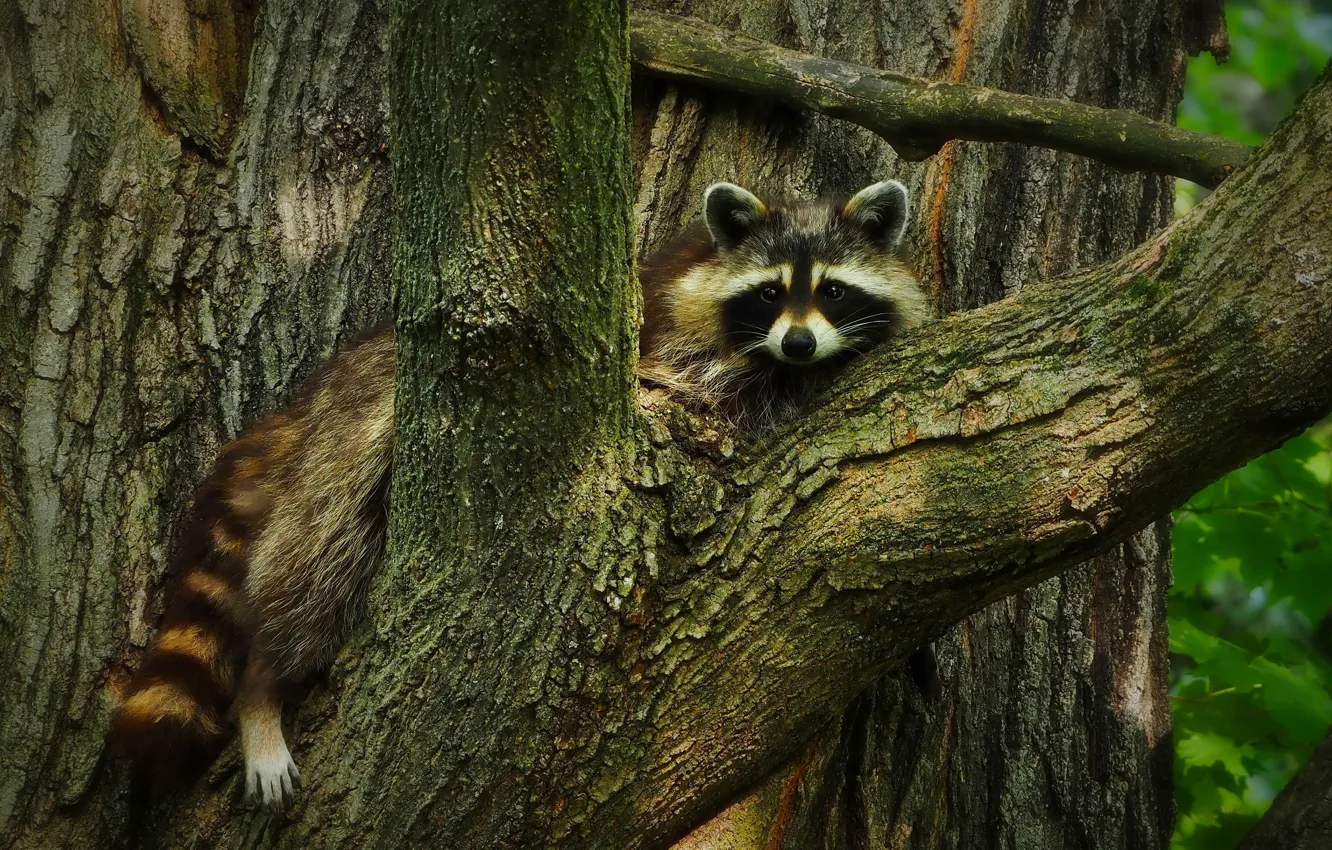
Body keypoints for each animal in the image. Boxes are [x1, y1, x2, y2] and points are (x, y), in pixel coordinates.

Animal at [108, 179, 931, 809]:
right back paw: (263, 689)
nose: (799, 343)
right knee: (313, 568)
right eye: (768, 294)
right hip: (353, 444)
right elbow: (722, 388)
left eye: (832, 290)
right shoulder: (674, 350)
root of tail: (307, 405)